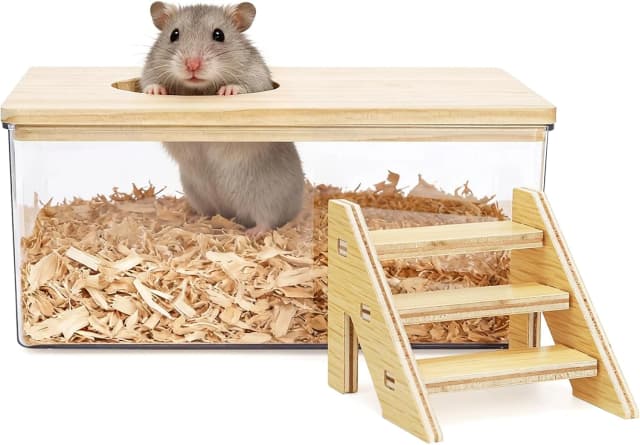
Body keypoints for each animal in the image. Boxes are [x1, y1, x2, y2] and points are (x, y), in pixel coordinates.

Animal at [140, 2, 304, 236]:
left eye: (219, 35)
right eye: (174, 34)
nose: (192, 65)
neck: (200, 89)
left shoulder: (258, 78)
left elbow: (246, 86)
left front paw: (228, 90)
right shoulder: (149, 70)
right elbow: (149, 82)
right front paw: (156, 90)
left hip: (268, 196)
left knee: (267, 220)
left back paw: (253, 233)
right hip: (196, 193)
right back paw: (196, 220)